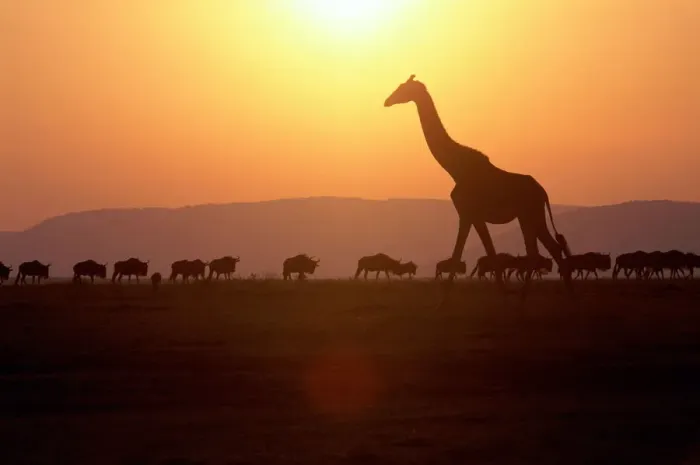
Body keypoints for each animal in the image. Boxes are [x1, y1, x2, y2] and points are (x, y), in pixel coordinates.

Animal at [384, 75, 573, 297]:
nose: (387, 101)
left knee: (540, 251)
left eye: (404, 89)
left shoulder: (468, 213)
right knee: (547, 248)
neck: (454, 168)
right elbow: (485, 253)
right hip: (530, 216)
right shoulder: (471, 215)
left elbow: (464, 254)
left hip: (529, 214)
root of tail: (543, 192)